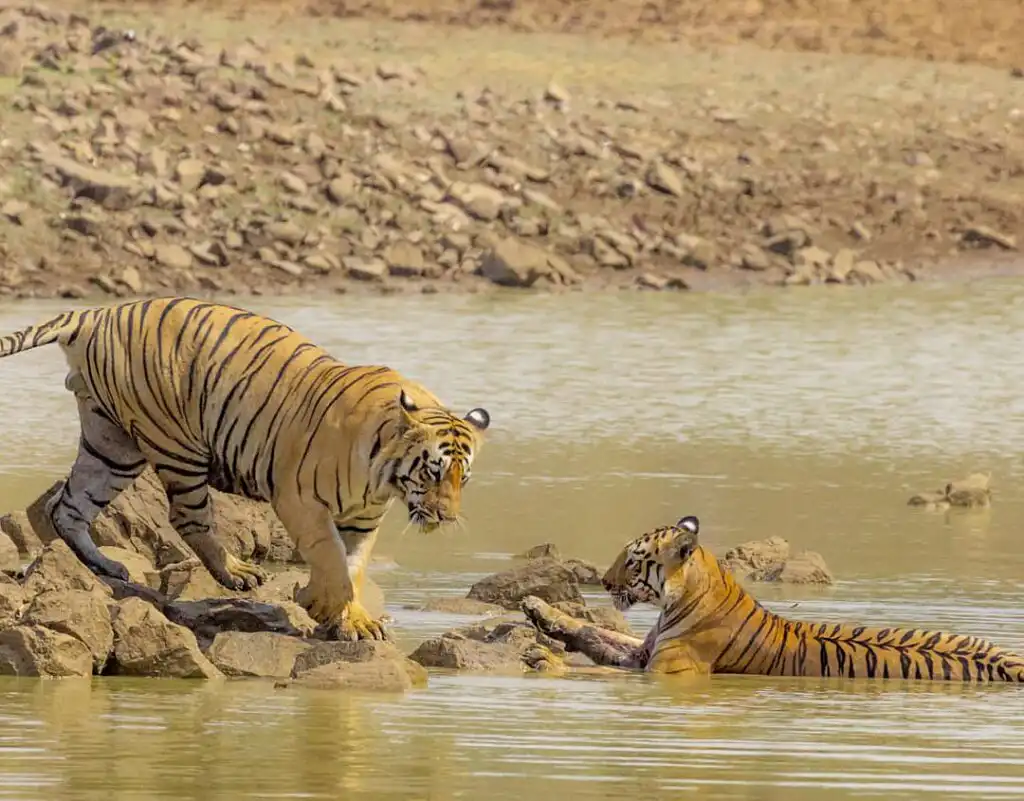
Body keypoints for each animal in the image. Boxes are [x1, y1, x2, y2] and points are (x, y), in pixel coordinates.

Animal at [0, 296, 491, 642]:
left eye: (461, 479)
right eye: (432, 472)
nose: (447, 516)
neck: (382, 480)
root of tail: (95, 314)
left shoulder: (364, 520)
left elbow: (353, 567)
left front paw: (347, 619)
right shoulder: (300, 501)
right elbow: (332, 560)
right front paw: (323, 604)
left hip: (112, 445)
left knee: (69, 506)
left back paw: (106, 566)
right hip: (175, 444)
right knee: (188, 517)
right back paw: (237, 572)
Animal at [522, 515, 1024, 682]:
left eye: (631, 560)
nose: (605, 583)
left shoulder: (663, 670)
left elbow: (592, 668)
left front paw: (545, 660)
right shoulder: (643, 653)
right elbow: (594, 632)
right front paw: (538, 609)